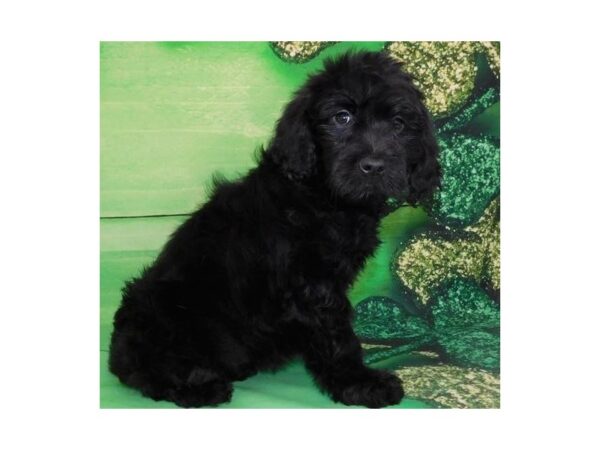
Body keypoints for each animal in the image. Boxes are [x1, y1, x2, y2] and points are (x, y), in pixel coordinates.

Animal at [108, 51, 438, 410]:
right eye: (342, 118)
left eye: (399, 124)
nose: (374, 166)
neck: (322, 196)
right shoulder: (313, 286)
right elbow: (338, 336)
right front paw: (360, 383)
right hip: (166, 311)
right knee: (149, 372)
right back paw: (203, 387)